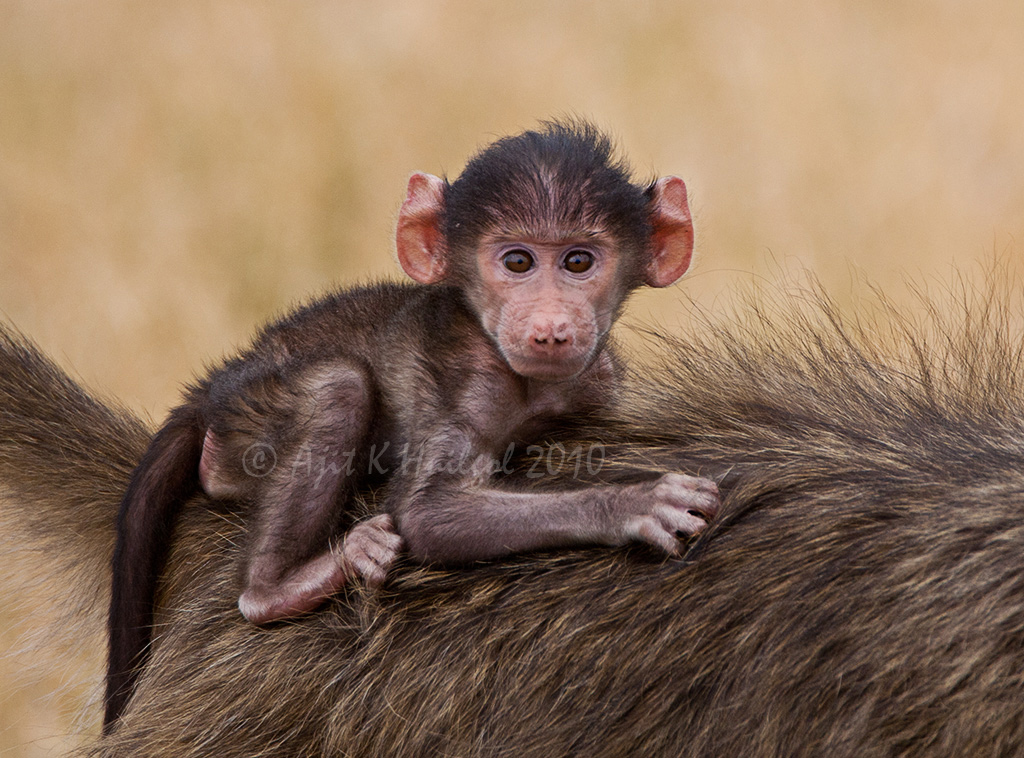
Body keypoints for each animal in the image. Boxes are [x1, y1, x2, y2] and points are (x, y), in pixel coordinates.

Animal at [101, 121, 721, 732]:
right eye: (518, 263)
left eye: (578, 262)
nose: (550, 329)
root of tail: (214, 388)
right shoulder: (468, 381)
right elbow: (427, 513)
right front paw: (636, 503)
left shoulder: (598, 379)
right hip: (245, 421)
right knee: (340, 387)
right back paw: (279, 587)